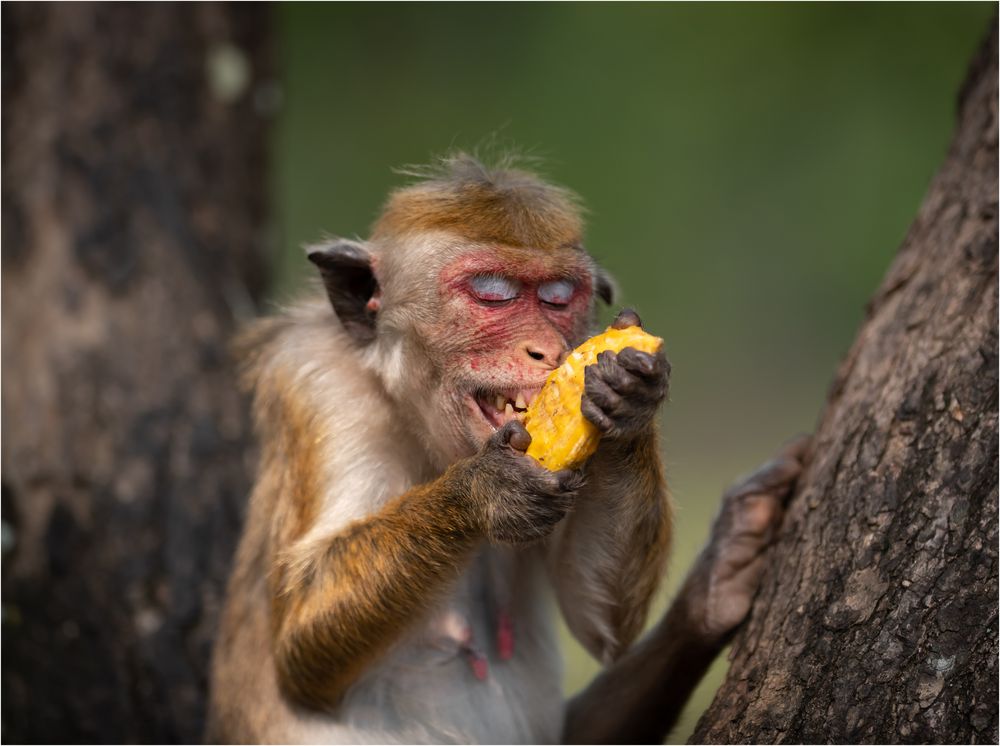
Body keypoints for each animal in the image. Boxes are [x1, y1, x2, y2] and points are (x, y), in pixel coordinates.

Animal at [207, 154, 808, 740]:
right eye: (492, 294)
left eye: (558, 298)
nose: (544, 349)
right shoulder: (318, 383)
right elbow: (301, 642)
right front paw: (485, 493)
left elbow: (602, 621)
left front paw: (629, 397)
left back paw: (721, 576)